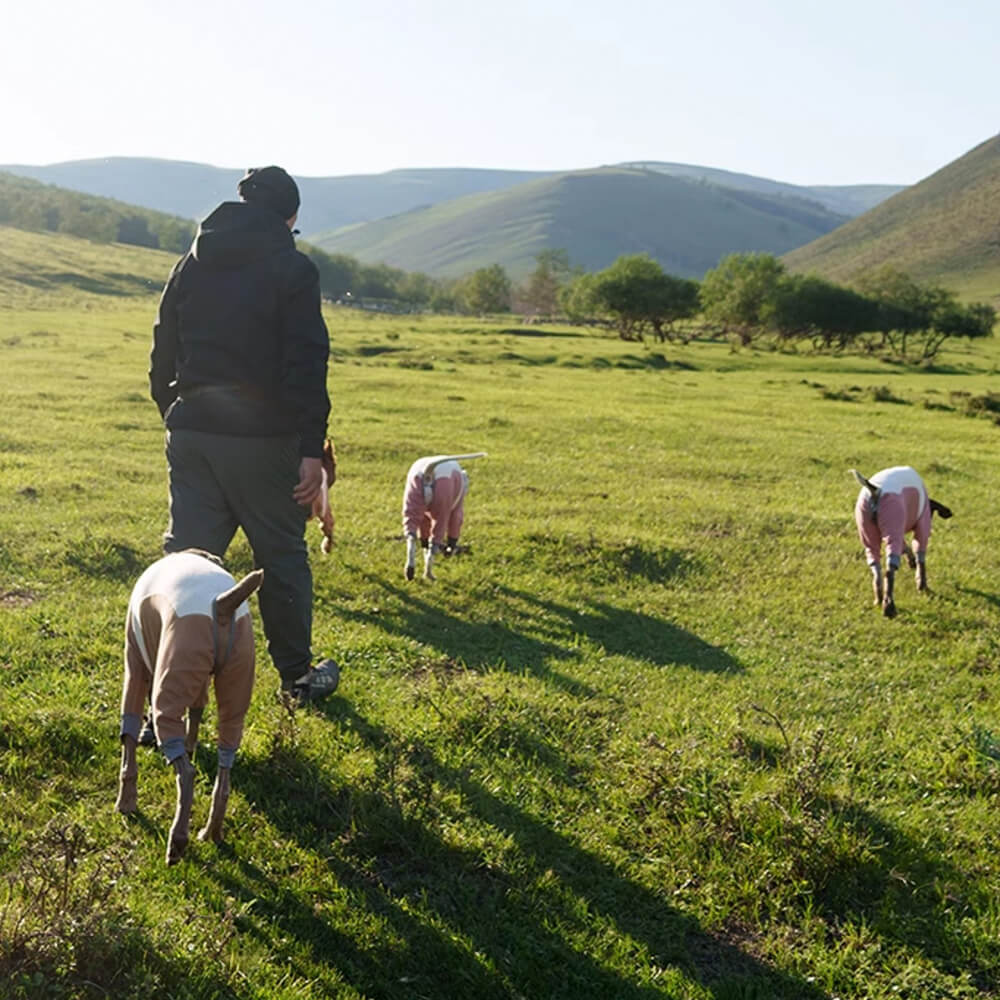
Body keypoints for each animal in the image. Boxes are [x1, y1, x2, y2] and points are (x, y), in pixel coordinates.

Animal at [852, 466, 952, 616]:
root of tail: (875, 490)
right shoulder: (921, 526)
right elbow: (920, 559)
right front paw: (921, 585)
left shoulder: (897, 533)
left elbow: (906, 548)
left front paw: (911, 562)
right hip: (893, 527)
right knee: (889, 572)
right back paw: (889, 607)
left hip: (869, 535)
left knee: (876, 571)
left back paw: (878, 599)